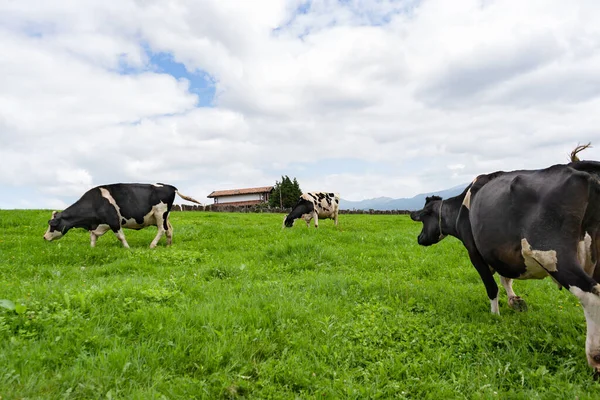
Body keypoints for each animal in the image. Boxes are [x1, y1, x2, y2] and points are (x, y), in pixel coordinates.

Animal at [44, 184, 204, 247]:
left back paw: (152, 245)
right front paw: (92, 248)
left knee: (161, 230)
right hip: (164, 216)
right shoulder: (97, 225)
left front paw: (127, 248)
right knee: (169, 229)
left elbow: (120, 236)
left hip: (160, 213)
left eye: (52, 224)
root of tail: (170, 186)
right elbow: (93, 238)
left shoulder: (114, 220)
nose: (44, 237)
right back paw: (168, 245)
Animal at [410, 162, 600, 376]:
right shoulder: (500, 254)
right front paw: (515, 301)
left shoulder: (474, 252)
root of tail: (578, 169)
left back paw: (594, 357)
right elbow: (506, 278)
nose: (419, 238)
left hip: (553, 254)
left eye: (423, 218)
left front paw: (495, 315)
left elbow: (492, 287)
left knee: (590, 295)